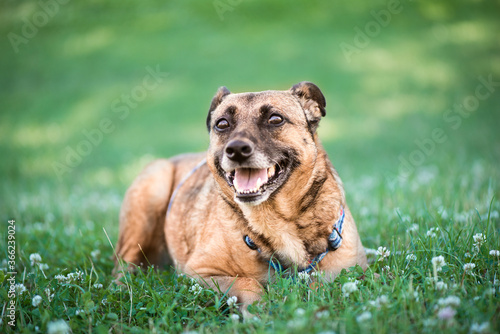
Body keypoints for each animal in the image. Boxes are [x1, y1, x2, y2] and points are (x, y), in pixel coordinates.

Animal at [115, 81, 370, 316]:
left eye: (275, 119)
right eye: (222, 124)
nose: (236, 149)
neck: (272, 218)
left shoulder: (352, 269)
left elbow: (323, 284)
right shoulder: (198, 272)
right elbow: (247, 281)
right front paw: (259, 309)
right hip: (152, 186)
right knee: (121, 266)